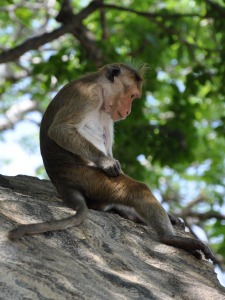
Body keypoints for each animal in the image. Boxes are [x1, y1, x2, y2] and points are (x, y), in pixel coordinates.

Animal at [8, 63, 215, 262]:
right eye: (132, 95)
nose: (129, 111)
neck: (99, 87)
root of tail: (61, 183)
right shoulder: (88, 95)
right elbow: (60, 130)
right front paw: (106, 162)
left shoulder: (108, 114)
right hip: (87, 178)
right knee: (137, 190)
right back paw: (169, 238)